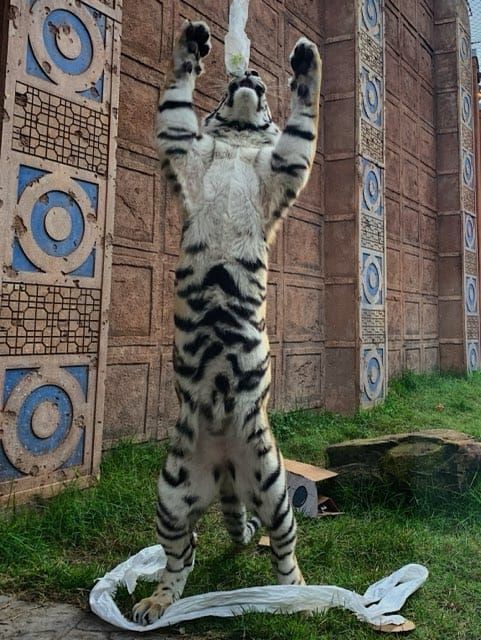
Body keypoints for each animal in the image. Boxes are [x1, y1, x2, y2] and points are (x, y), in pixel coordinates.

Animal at [132, 20, 322, 625]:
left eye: (259, 76)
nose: (249, 75)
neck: (238, 143)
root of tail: (224, 474)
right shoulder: (180, 145)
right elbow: (176, 96)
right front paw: (193, 43)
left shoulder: (286, 165)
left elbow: (303, 116)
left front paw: (305, 61)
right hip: (172, 492)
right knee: (181, 557)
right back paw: (156, 602)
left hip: (271, 479)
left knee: (282, 545)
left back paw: (298, 596)